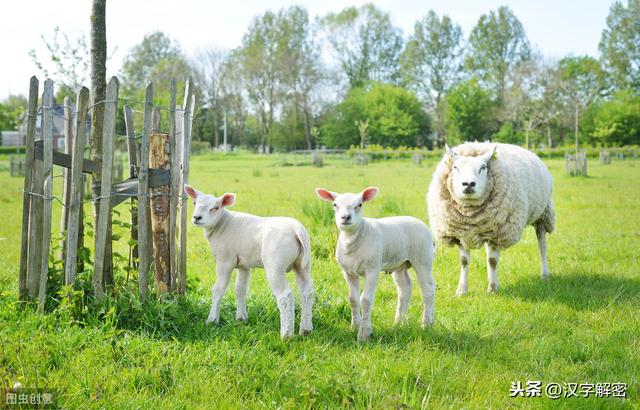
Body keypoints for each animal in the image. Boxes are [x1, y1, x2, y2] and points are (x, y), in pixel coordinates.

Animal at [185, 184, 316, 338]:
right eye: (194, 203)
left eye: (215, 208)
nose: (196, 217)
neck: (222, 224)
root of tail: (297, 229)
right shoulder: (243, 264)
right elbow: (240, 289)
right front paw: (241, 319)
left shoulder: (224, 261)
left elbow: (218, 289)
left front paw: (212, 320)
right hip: (303, 264)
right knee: (307, 292)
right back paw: (306, 329)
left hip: (275, 264)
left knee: (285, 296)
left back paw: (286, 334)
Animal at [316, 187, 436, 342]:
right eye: (335, 204)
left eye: (359, 204)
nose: (345, 217)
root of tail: (422, 224)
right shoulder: (348, 272)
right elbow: (353, 299)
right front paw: (354, 327)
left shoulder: (372, 269)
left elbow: (365, 300)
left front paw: (364, 333)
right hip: (400, 263)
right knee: (405, 288)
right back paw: (399, 323)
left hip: (423, 258)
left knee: (428, 288)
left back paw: (427, 323)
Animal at [428, 143, 556, 296]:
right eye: (455, 167)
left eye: (483, 167)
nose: (468, 184)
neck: (470, 215)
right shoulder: (462, 232)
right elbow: (464, 261)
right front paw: (462, 290)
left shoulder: (498, 233)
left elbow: (492, 261)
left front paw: (493, 289)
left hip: (542, 213)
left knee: (542, 243)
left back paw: (545, 274)